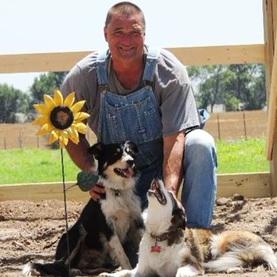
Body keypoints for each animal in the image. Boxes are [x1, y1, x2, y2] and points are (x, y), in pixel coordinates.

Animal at [22, 141, 143, 274]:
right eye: (115, 154)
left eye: (130, 152)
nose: (131, 161)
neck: (118, 191)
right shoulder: (108, 227)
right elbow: (122, 255)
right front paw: (129, 270)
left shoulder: (137, 220)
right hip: (77, 233)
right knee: (61, 267)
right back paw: (74, 271)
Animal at [99, 178, 276, 274]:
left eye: (170, 193)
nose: (157, 179)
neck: (159, 234)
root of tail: (263, 243)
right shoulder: (141, 270)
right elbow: (126, 272)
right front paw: (109, 274)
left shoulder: (192, 264)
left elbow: (180, 272)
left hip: (220, 241)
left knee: (242, 259)